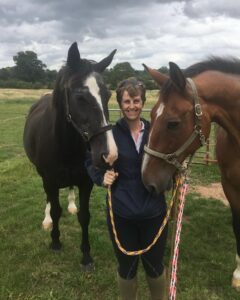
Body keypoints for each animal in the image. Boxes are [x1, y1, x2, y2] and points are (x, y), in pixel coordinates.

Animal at [23, 41, 118, 268]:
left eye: (109, 95)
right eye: (80, 97)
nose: (109, 154)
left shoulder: (85, 181)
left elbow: (84, 216)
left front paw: (86, 255)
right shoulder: (49, 180)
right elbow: (55, 209)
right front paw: (55, 241)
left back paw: (72, 205)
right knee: (49, 200)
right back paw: (47, 220)